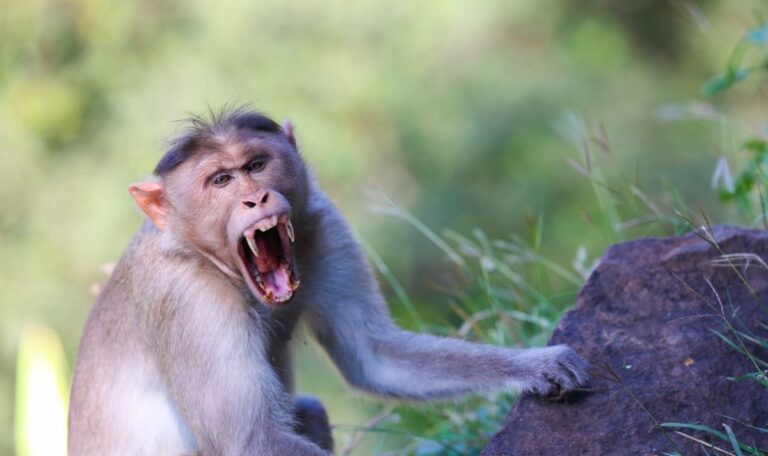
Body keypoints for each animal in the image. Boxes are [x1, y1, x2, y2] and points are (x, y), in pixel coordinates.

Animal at [68, 108, 589, 455]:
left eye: (255, 165)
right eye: (220, 181)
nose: (256, 199)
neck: (205, 258)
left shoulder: (324, 224)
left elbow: (372, 355)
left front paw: (536, 364)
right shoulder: (187, 299)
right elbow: (251, 440)